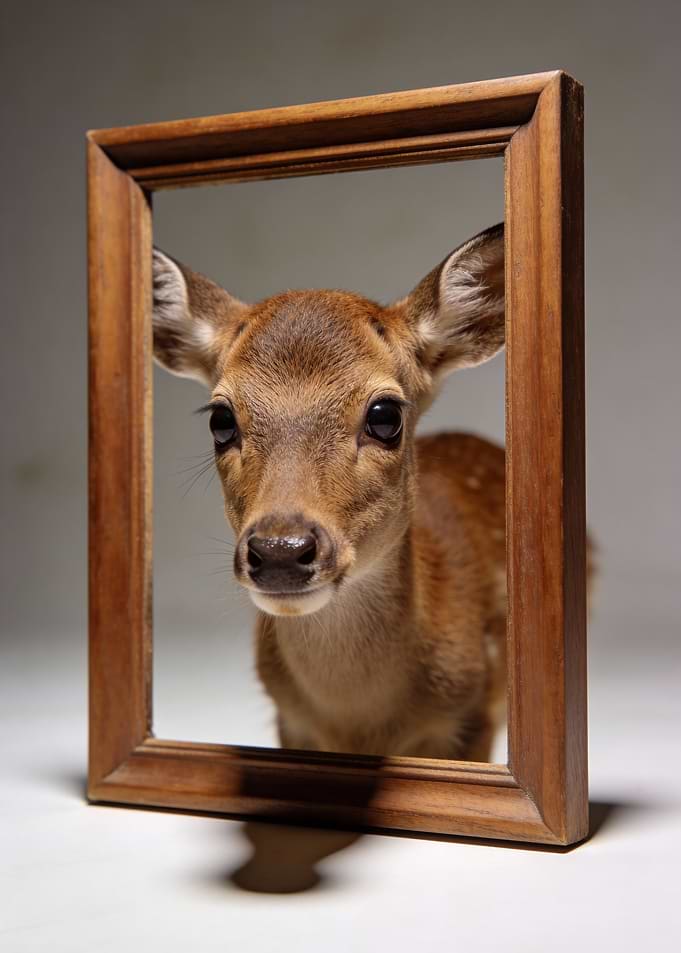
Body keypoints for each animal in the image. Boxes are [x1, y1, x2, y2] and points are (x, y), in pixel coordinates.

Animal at [151, 223, 515, 763]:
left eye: (385, 415)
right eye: (221, 419)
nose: (281, 550)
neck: (359, 722)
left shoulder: (475, 713)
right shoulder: (289, 717)